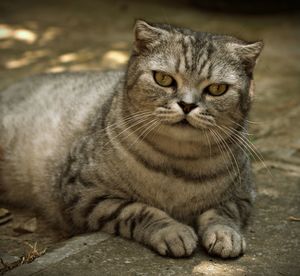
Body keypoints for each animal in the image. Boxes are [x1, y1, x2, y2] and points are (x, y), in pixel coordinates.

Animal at [0, 20, 262, 258]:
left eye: (217, 89)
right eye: (163, 79)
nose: (187, 105)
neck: (178, 165)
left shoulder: (242, 195)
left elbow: (222, 213)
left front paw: (224, 234)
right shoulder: (84, 194)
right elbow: (138, 210)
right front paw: (172, 231)